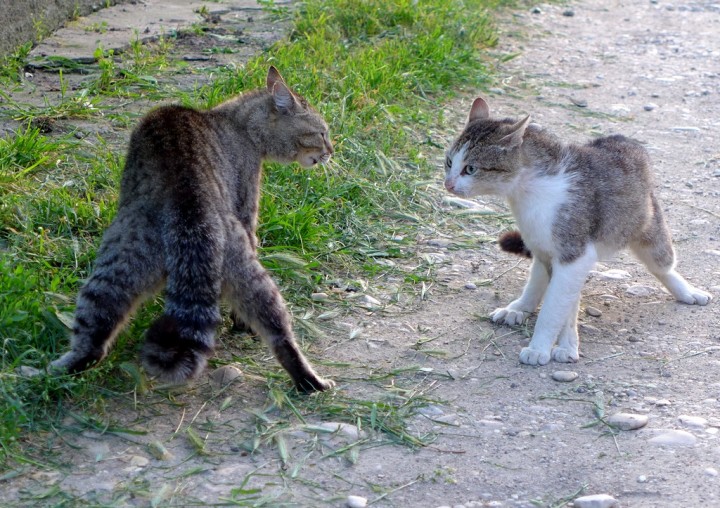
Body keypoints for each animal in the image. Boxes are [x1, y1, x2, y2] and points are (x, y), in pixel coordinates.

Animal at [49, 66, 336, 392]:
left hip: (118, 264)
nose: (331, 149)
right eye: (321, 133)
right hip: (241, 261)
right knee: (279, 330)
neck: (238, 123)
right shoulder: (248, 210)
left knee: (94, 336)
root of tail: (187, 198)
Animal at [444, 96, 708, 366]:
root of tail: (620, 139)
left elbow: (555, 308)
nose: (448, 184)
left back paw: (687, 291)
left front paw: (542, 347)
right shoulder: (551, 250)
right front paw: (565, 341)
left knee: (662, 264)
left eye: (471, 169)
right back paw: (518, 307)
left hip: (646, 226)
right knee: (538, 279)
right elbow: (562, 301)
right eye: (449, 163)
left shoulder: (574, 253)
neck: (526, 192)